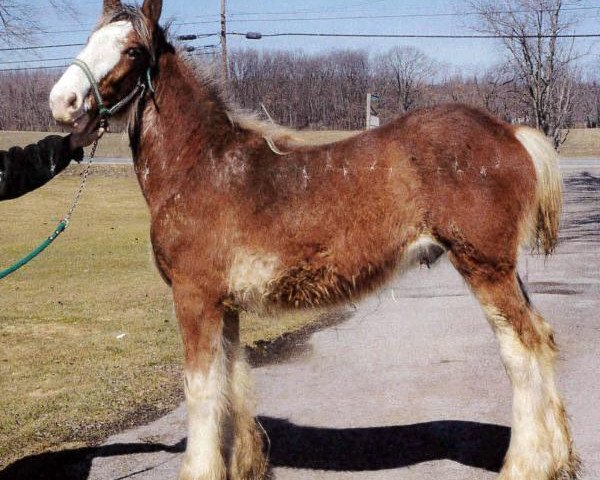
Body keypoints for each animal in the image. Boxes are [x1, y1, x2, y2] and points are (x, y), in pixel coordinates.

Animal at [49, 0, 580, 480]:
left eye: (133, 50)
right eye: (90, 39)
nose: (63, 102)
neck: (201, 165)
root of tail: (510, 132)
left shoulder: (194, 298)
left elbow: (201, 389)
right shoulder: (226, 305)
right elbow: (233, 381)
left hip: (484, 267)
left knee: (521, 350)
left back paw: (526, 466)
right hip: (504, 271)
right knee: (543, 338)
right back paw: (560, 459)